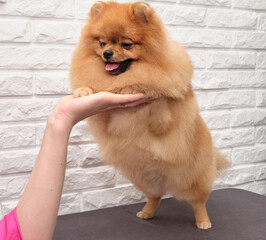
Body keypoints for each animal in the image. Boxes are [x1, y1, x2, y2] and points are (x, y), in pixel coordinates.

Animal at [70, 1, 229, 231]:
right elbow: (96, 91)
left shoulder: (165, 99)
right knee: (155, 196)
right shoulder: (104, 114)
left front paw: (137, 89)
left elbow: (157, 96)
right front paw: (83, 91)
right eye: (102, 43)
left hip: (192, 177)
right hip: (143, 177)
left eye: (126, 44)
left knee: (199, 202)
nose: (107, 53)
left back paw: (203, 222)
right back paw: (146, 212)